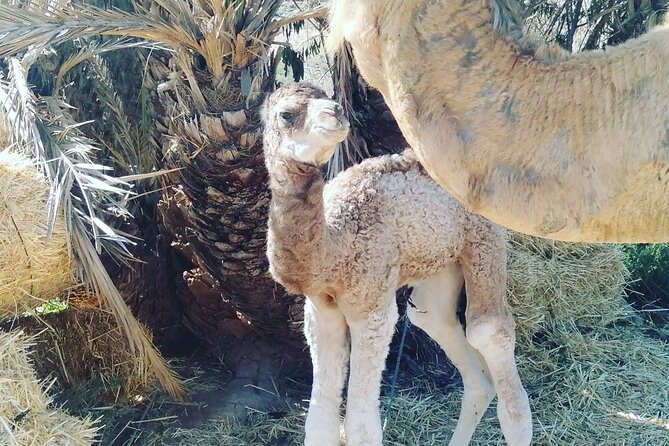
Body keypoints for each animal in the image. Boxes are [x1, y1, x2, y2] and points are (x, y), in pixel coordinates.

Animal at [264, 82, 528, 444]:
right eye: (287, 114)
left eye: (329, 97)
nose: (337, 113)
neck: (334, 248)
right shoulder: (321, 311)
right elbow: (319, 423)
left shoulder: (372, 306)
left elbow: (361, 426)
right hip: (439, 262)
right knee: (441, 330)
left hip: (485, 241)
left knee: (490, 333)